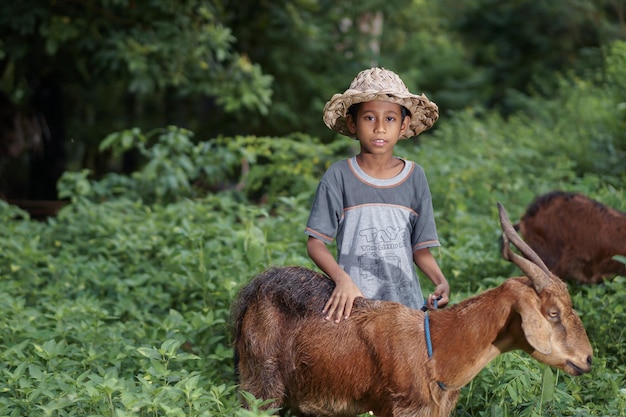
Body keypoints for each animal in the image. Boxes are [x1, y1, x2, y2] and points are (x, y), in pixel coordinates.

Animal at [232, 203, 592, 414]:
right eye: (553, 313)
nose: (588, 359)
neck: (437, 347)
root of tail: (254, 288)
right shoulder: (402, 408)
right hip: (260, 383)